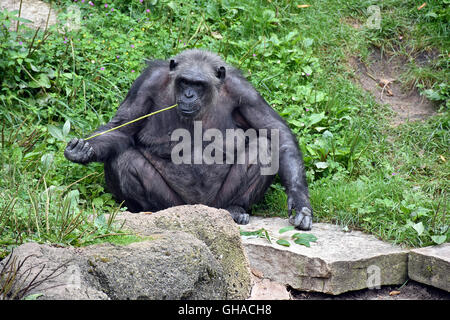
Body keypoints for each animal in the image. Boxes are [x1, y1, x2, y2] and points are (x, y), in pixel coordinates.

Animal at [64, 48, 312, 230]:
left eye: (198, 84)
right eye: (184, 81)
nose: (189, 94)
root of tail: (201, 209)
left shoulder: (246, 93)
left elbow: (276, 132)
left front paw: (300, 202)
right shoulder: (146, 83)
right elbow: (121, 129)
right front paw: (83, 149)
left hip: (216, 203)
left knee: (262, 148)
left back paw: (235, 209)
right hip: (175, 202)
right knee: (124, 159)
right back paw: (152, 211)